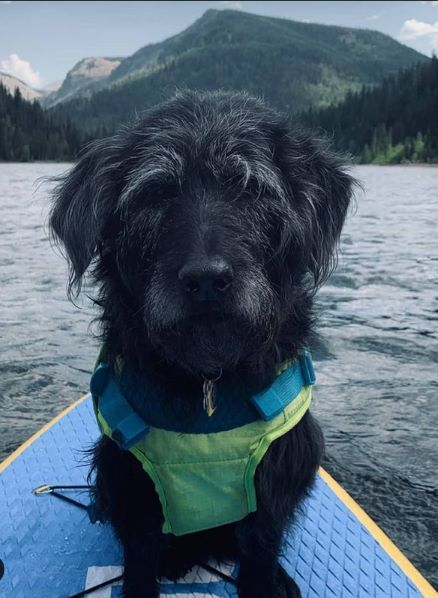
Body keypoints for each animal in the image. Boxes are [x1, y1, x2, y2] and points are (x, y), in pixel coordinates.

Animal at [49, 90, 354, 598]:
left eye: (250, 189)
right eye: (155, 194)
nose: (207, 279)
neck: (207, 374)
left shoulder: (275, 478)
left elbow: (259, 554)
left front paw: (266, 581)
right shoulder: (131, 483)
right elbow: (139, 558)